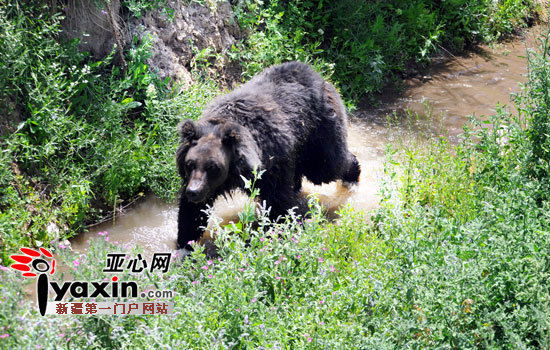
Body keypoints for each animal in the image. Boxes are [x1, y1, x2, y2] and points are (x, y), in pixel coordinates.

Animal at [177, 61, 362, 250]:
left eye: (213, 167)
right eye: (189, 164)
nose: (194, 191)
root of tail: (319, 76)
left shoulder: (272, 162)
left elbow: (278, 202)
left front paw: (279, 232)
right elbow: (193, 212)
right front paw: (185, 243)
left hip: (318, 131)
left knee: (326, 167)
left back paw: (352, 178)